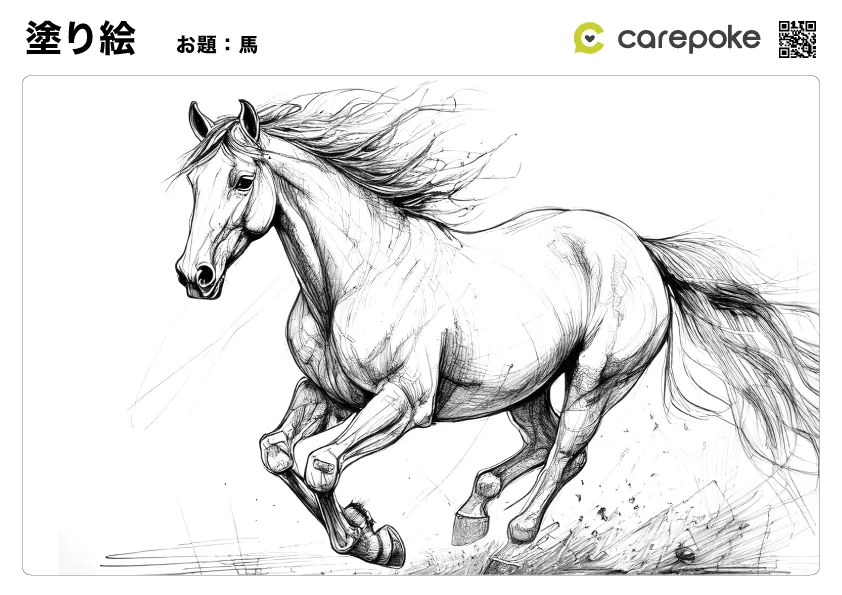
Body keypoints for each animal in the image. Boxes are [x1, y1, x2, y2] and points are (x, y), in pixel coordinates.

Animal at [173, 92, 819, 571]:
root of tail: (640, 249)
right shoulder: (328, 393)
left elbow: (320, 464)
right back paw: (472, 514)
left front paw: (369, 541)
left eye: (241, 179)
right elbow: (278, 454)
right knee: (547, 444)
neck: (356, 278)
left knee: (568, 447)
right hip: (524, 387)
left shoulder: (403, 403)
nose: (193, 275)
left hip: (596, 379)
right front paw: (368, 534)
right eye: (193, 184)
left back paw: (517, 532)